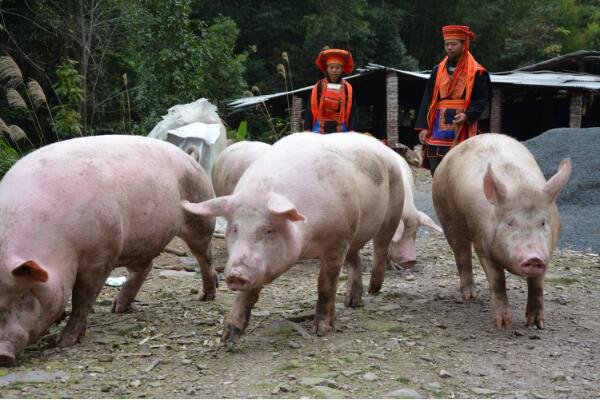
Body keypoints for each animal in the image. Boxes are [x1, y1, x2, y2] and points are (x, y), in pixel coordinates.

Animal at [0, 135, 216, 366]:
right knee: (144, 267)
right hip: (140, 241)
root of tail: (190, 157)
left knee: (205, 257)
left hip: (200, 216)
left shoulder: (100, 256)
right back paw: (118, 308)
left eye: (24, 297)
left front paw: (64, 342)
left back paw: (206, 297)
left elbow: (83, 298)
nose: (3, 354)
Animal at [184, 132, 404, 344]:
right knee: (355, 258)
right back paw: (352, 303)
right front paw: (226, 339)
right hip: (354, 233)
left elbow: (326, 285)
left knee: (381, 246)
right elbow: (248, 294)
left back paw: (374, 289)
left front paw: (321, 331)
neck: (307, 242)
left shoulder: (337, 240)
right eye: (235, 229)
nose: (235, 275)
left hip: (392, 210)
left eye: (268, 230)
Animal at [434, 134, 568, 328]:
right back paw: (469, 297)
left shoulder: (548, 252)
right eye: (510, 223)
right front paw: (503, 324)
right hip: (446, 215)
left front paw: (537, 325)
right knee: (461, 254)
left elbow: (537, 284)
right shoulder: (482, 245)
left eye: (543, 223)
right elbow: (497, 280)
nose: (533, 257)